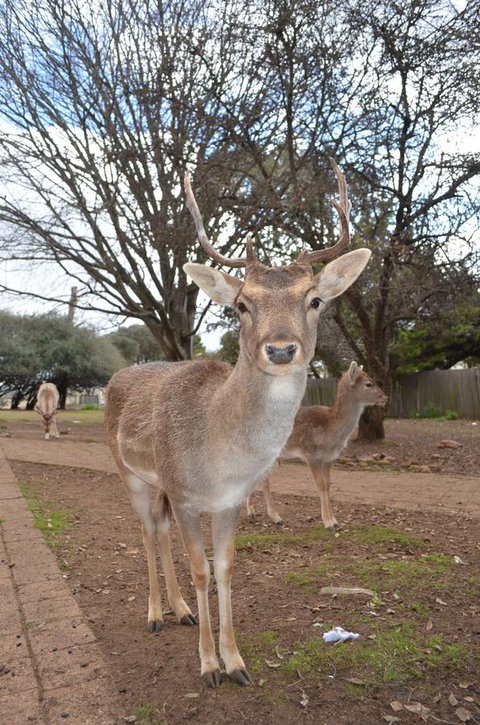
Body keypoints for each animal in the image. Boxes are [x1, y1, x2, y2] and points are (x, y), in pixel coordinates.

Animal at [104, 159, 371, 689]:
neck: (221, 458)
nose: (281, 349)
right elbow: (201, 569)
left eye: (314, 300)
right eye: (242, 304)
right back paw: (155, 615)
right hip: (130, 473)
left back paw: (182, 611)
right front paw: (209, 667)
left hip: (159, 485)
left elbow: (225, 569)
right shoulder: (186, 495)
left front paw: (236, 662)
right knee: (145, 531)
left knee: (159, 532)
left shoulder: (227, 501)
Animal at [246, 362, 388, 529]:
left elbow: (327, 485)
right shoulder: (311, 454)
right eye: (368, 384)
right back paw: (270, 515)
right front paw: (328, 523)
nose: (386, 398)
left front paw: (335, 521)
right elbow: (320, 485)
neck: (330, 432)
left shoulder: (328, 459)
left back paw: (257, 514)